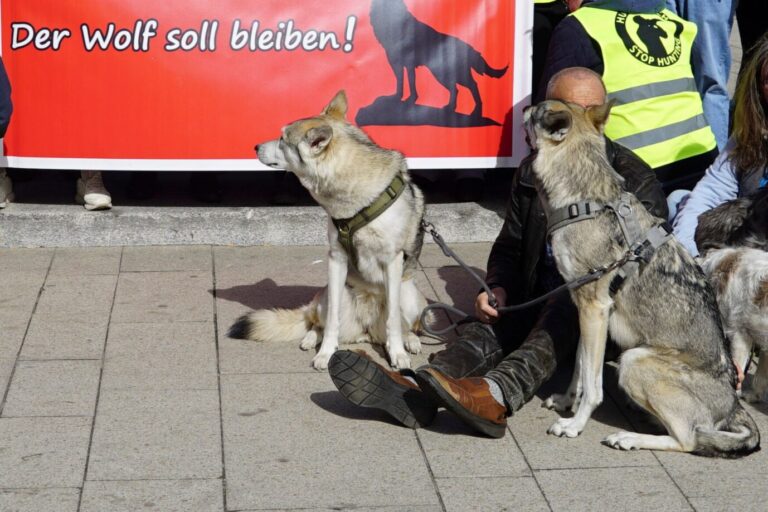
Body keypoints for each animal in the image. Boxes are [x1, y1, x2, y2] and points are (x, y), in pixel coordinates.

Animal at [230, 91, 433, 371]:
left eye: (282, 139)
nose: (255, 147)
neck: (357, 201)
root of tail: (366, 332)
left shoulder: (392, 261)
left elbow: (393, 320)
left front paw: (398, 354)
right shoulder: (336, 259)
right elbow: (331, 324)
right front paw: (326, 353)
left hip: (409, 295)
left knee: (406, 327)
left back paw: (409, 342)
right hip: (325, 298)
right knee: (316, 323)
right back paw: (309, 339)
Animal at [369, 0, 507, 117]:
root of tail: (469, 48)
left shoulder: (407, 63)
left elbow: (409, 81)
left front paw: (410, 99)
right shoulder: (396, 62)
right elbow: (401, 81)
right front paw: (400, 98)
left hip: (445, 74)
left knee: (471, 85)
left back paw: (476, 110)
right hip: (444, 75)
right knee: (456, 89)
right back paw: (451, 108)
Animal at [524, 99, 759, 456]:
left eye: (536, 110)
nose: (524, 106)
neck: (585, 201)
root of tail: (734, 405)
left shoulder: (594, 309)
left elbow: (593, 385)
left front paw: (575, 425)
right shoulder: (587, 311)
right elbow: (580, 367)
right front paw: (567, 402)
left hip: (633, 360)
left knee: (688, 440)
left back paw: (628, 438)